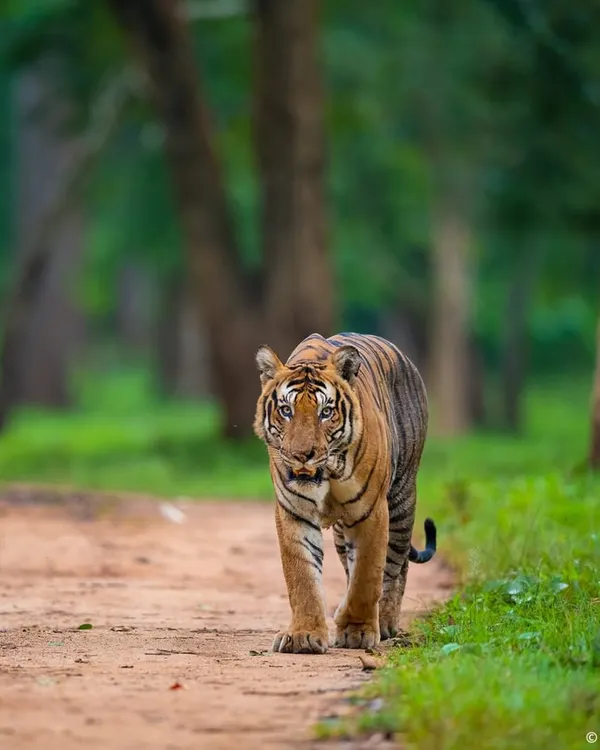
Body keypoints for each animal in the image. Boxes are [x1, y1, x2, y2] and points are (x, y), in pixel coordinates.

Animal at [253, 331, 437, 654]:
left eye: (325, 412)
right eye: (286, 410)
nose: (302, 455)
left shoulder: (371, 511)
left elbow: (368, 574)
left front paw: (358, 631)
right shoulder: (294, 512)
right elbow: (302, 575)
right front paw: (303, 635)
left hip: (402, 500)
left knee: (397, 564)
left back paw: (384, 621)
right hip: (343, 530)